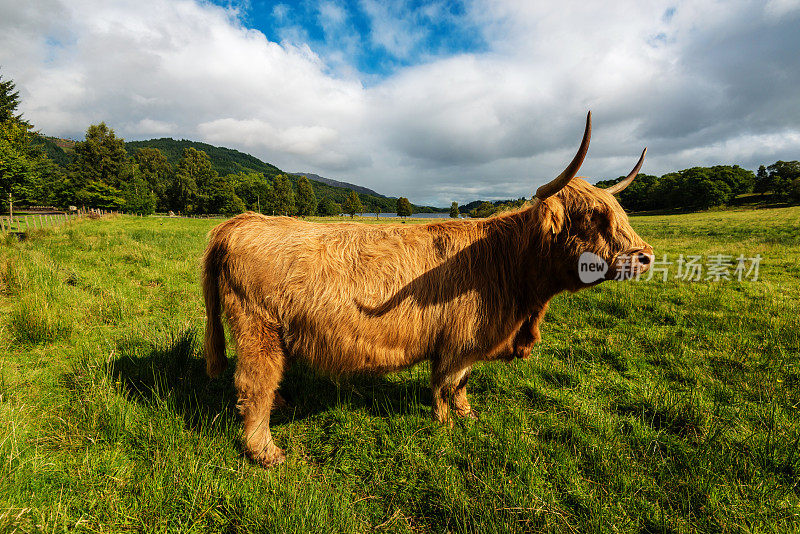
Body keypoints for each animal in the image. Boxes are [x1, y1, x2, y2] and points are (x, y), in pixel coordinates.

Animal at [203, 113, 652, 468]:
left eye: (620, 212)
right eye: (592, 216)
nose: (645, 256)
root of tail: (241, 221)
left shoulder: (468, 340)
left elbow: (464, 382)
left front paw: (467, 415)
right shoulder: (457, 341)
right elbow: (446, 383)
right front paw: (444, 422)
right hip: (257, 329)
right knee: (254, 384)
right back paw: (265, 451)